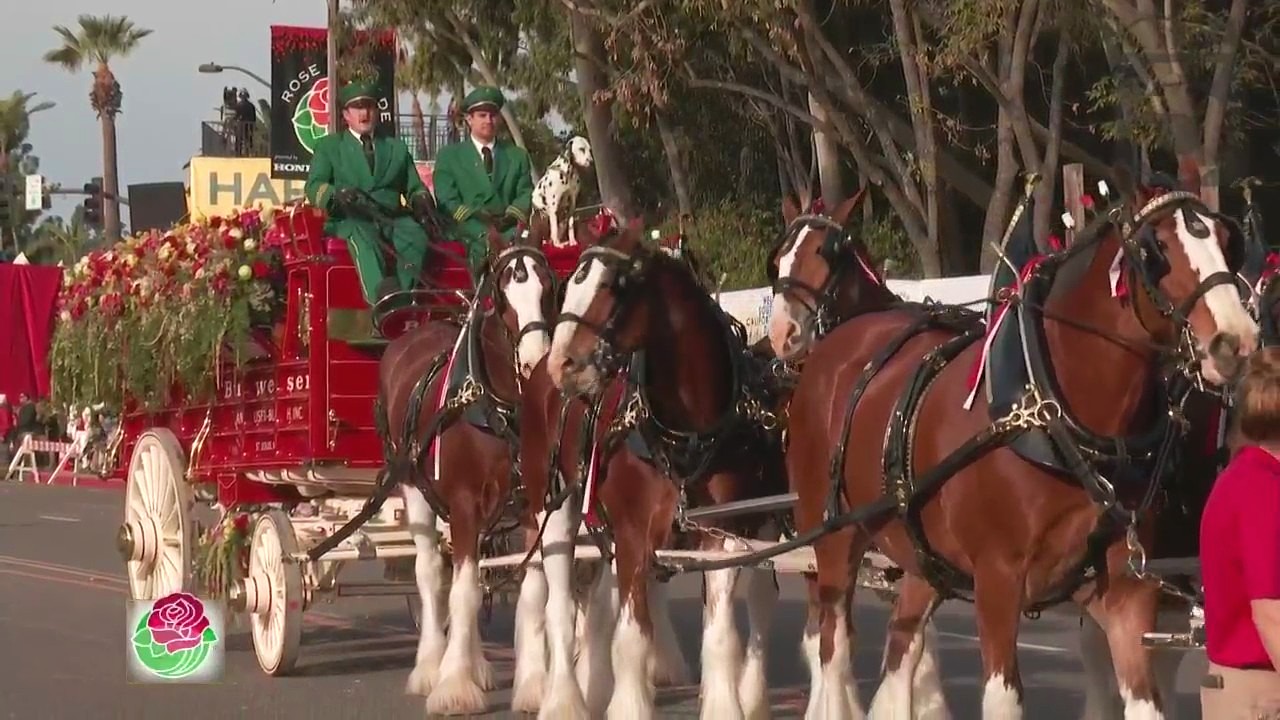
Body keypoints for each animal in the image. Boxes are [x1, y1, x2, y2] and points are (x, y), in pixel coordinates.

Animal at [773, 159, 1254, 712]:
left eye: (1226, 238)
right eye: (1157, 249)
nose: (1237, 341)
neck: (1052, 414)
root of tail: (837, 343)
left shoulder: (1128, 593)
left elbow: (1143, 698)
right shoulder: (998, 582)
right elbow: (1003, 699)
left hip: (922, 559)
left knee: (901, 645)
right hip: (832, 537)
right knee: (832, 648)